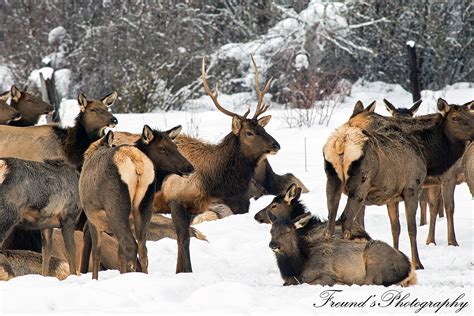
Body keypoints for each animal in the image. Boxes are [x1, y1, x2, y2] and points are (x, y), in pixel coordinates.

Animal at [79, 126, 194, 278]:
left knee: (130, 245)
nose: (190, 167)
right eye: (163, 148)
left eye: (175, 146)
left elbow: (96, 252)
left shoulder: (92, 216)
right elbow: (119, 253)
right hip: (144, 204)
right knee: (142, 248)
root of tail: (137, 163)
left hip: (115, 206)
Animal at [153, 56, 282, 272]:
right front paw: (183, 272)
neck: (212, 181)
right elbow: (183, 239)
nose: (276, 145)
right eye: (249, 132)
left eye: (263, 129)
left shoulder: (196, 208)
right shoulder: (176, 200)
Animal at [268, 211, 416, 288]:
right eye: (271, 231)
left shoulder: (326, 274)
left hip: (374, 256)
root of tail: (409, 268)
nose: (273, 244)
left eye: (287, 231)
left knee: (370, 283)